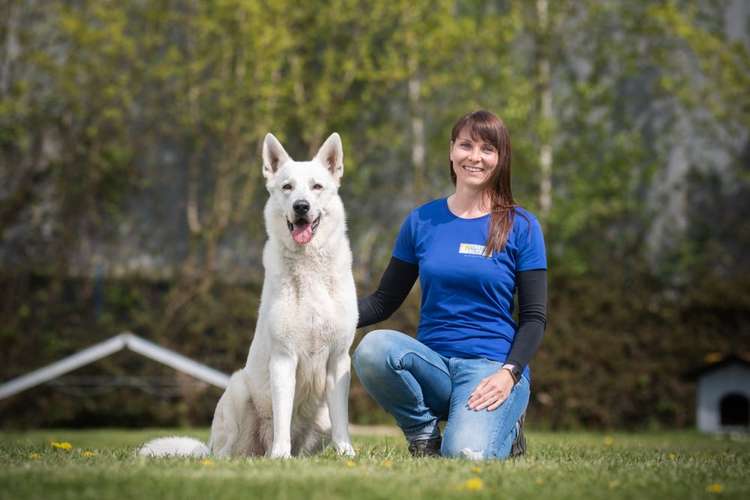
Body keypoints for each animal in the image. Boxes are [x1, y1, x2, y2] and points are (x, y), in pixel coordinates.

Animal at [143, 133, 362, 458]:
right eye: (287, 187)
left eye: (316, 187)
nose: (301, 206)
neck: (308, 269)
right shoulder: (283, 359)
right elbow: (282, 417)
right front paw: (280, 457)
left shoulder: (337, 361)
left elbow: (342, 422)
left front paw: (346, 455)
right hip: (238, 389)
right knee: (228, 452)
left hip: (318, 420)